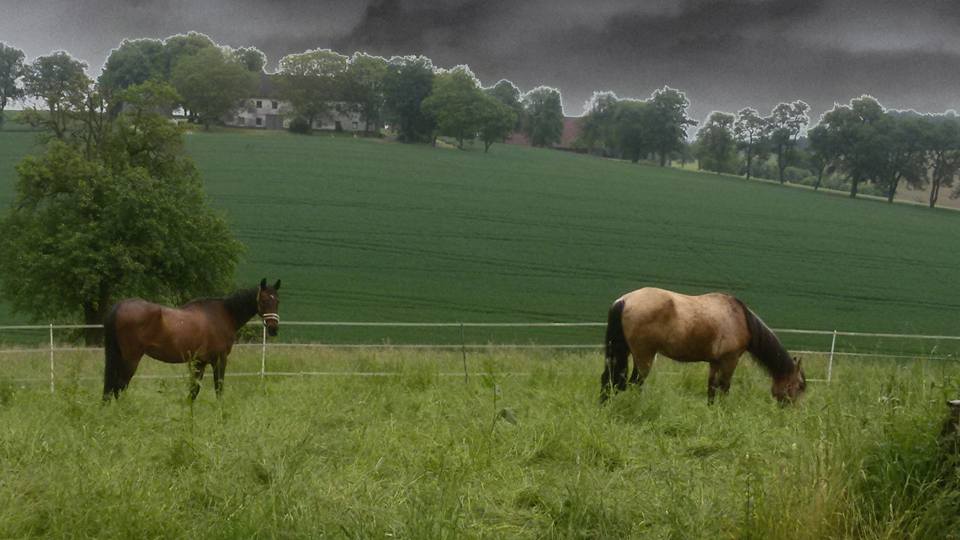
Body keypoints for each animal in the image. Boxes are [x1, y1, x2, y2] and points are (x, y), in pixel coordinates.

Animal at [102, 278, 282, 400]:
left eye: (278, 301)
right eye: (264, 300)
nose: (273, 328)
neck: (223, 314)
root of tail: (119, 306)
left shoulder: (199, 362)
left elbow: (193, 391)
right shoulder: (219, 360)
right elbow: (218, 388)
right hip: (131, 358)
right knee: (119, 386)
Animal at [604, 286, 808, 404]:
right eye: (799, 386)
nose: (791, 412)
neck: (740, 318)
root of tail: (624, 300)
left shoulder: (715, 362)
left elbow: (712, 389)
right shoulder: (730, 360)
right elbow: (724, 388)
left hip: (622, 353)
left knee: (609, 380)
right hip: (643, 356)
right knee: (634, 383)